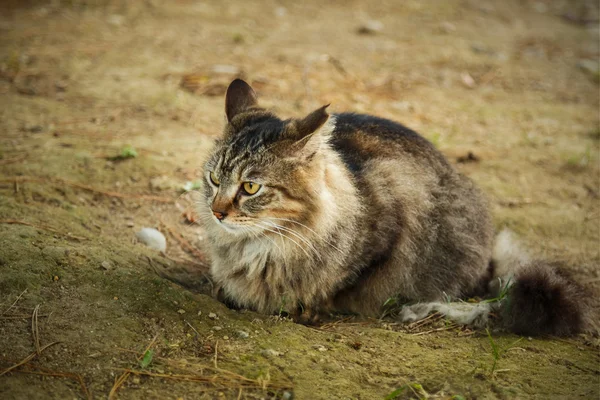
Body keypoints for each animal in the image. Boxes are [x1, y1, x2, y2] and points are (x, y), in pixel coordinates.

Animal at [198, 78, 596, 334]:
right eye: (215, 179)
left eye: (250, 187)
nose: (217, 212)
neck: (260, 247)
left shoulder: (391, 214)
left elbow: (340, 284)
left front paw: (305, 307)